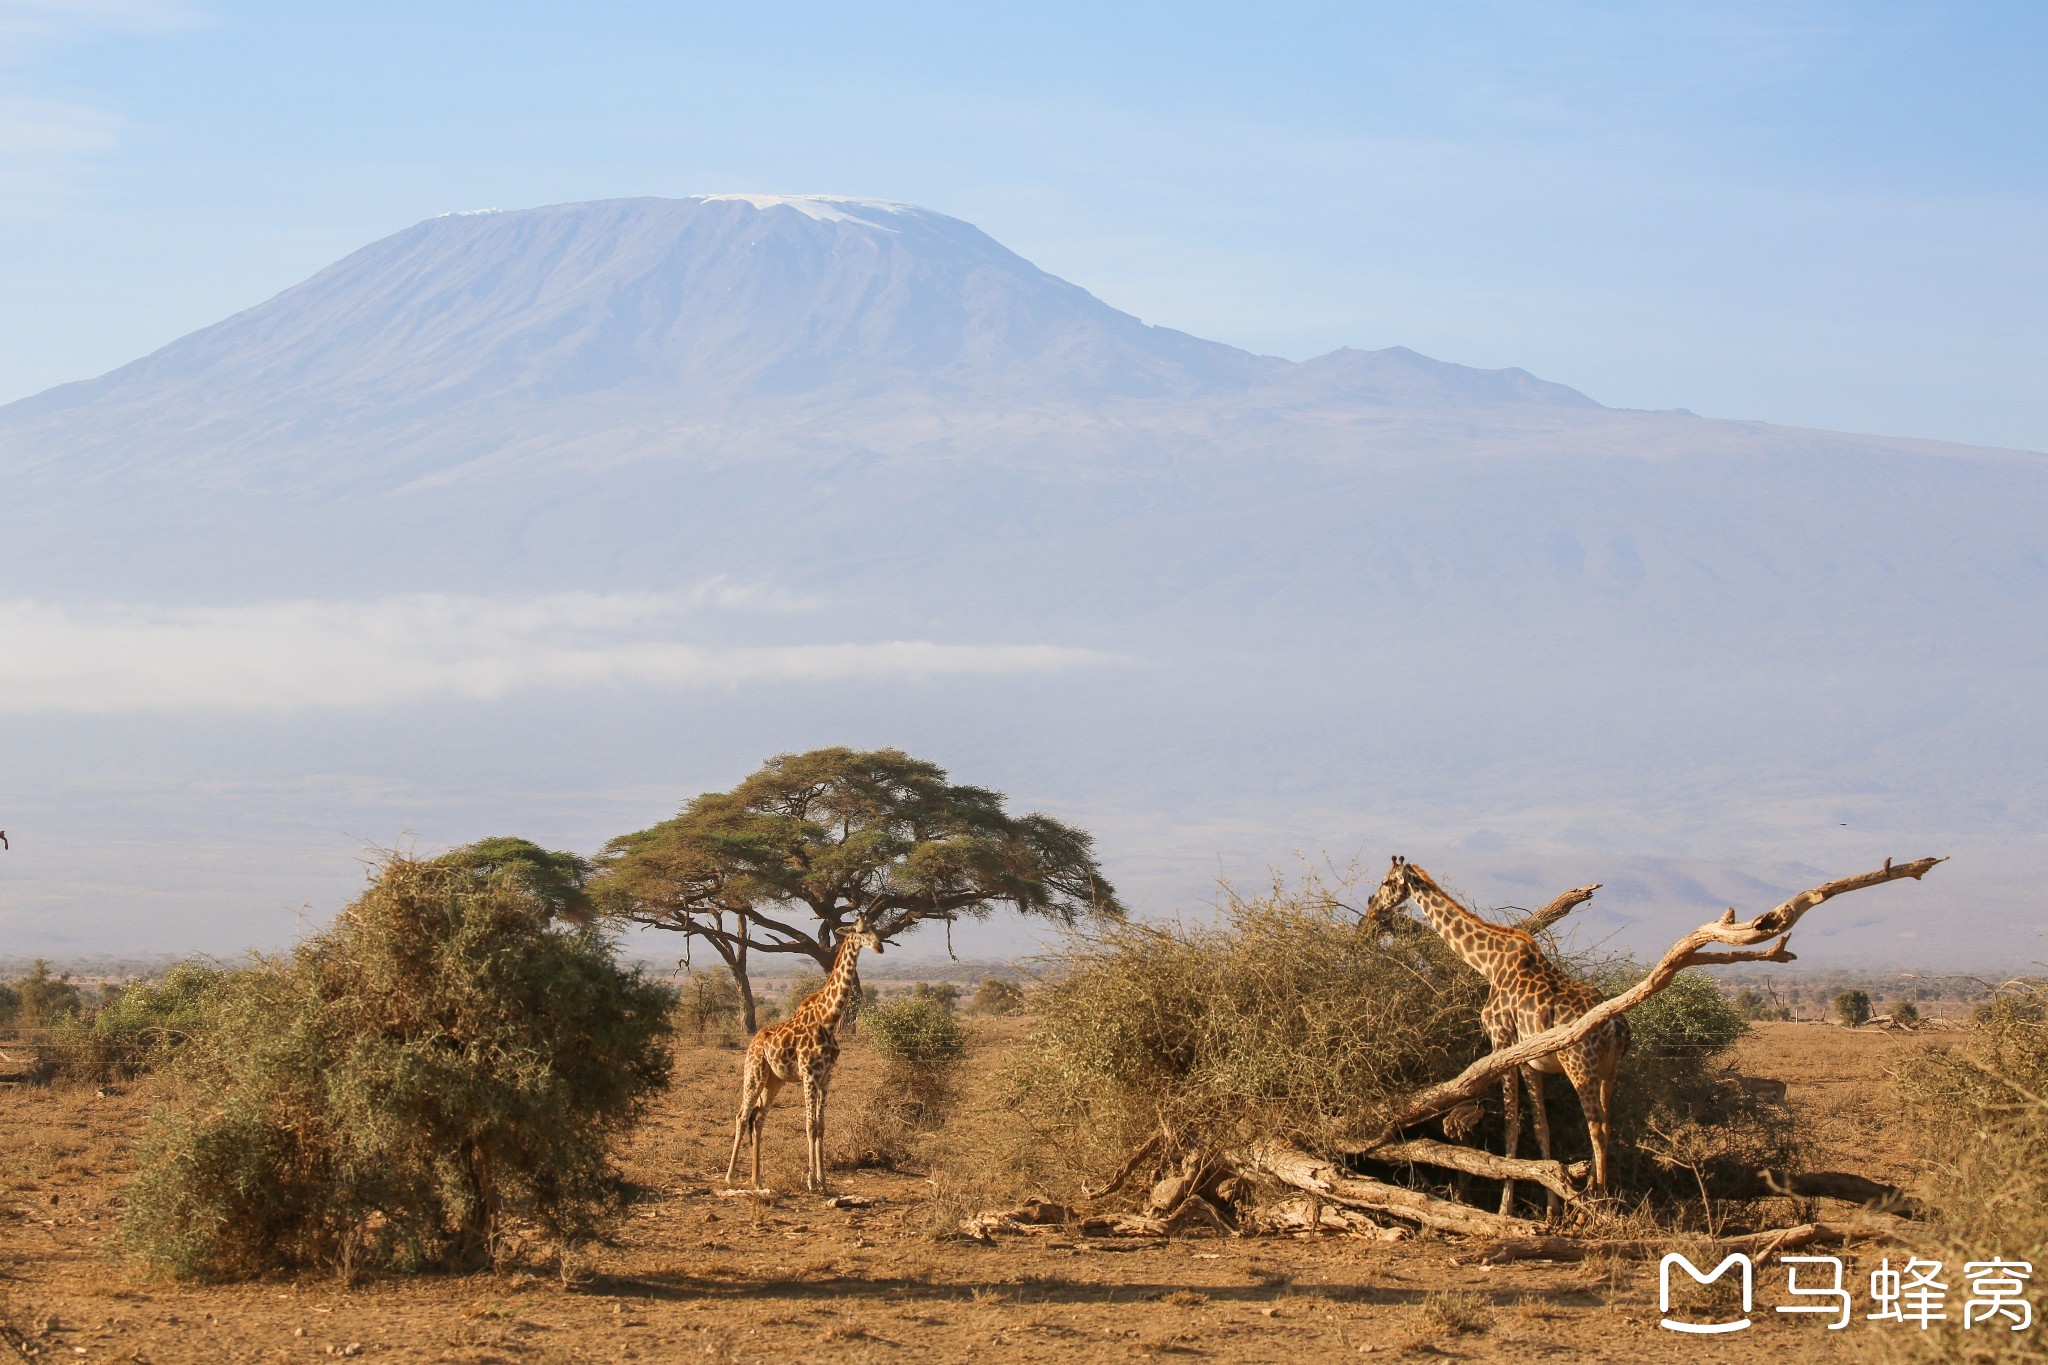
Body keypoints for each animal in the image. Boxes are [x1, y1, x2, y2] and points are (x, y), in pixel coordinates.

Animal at [724, 916, 884, 1195]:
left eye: (877, 929)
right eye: (862, 930)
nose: (880, 946)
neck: (829, 1019)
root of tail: (753, 1042)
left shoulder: (826, 1076)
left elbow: (820, 1125)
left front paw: (823, 1180)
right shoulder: (809, 1074)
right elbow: (809, 1125)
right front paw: (811, 1181)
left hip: (774, 1081)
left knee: (759, 1118)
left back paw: (757, 1179)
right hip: (754, 1074)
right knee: (743, 1116)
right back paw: (730, 1176)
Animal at [1359, 859, 1630, 1211]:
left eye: (1386, 882)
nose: (1371, 907)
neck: (1488, 964)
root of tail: (1617, 1027)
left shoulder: (1501, 1040)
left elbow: (1511, 1125)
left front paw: (1505, 1209)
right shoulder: (1529, 1059)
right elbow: (1541, 1127)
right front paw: (1550, 1210)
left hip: (1581, 1068)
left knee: (1596, 1127)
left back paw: (1593, 1205)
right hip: (1610, 1072)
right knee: (1608, 1125)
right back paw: (1599, 1198)